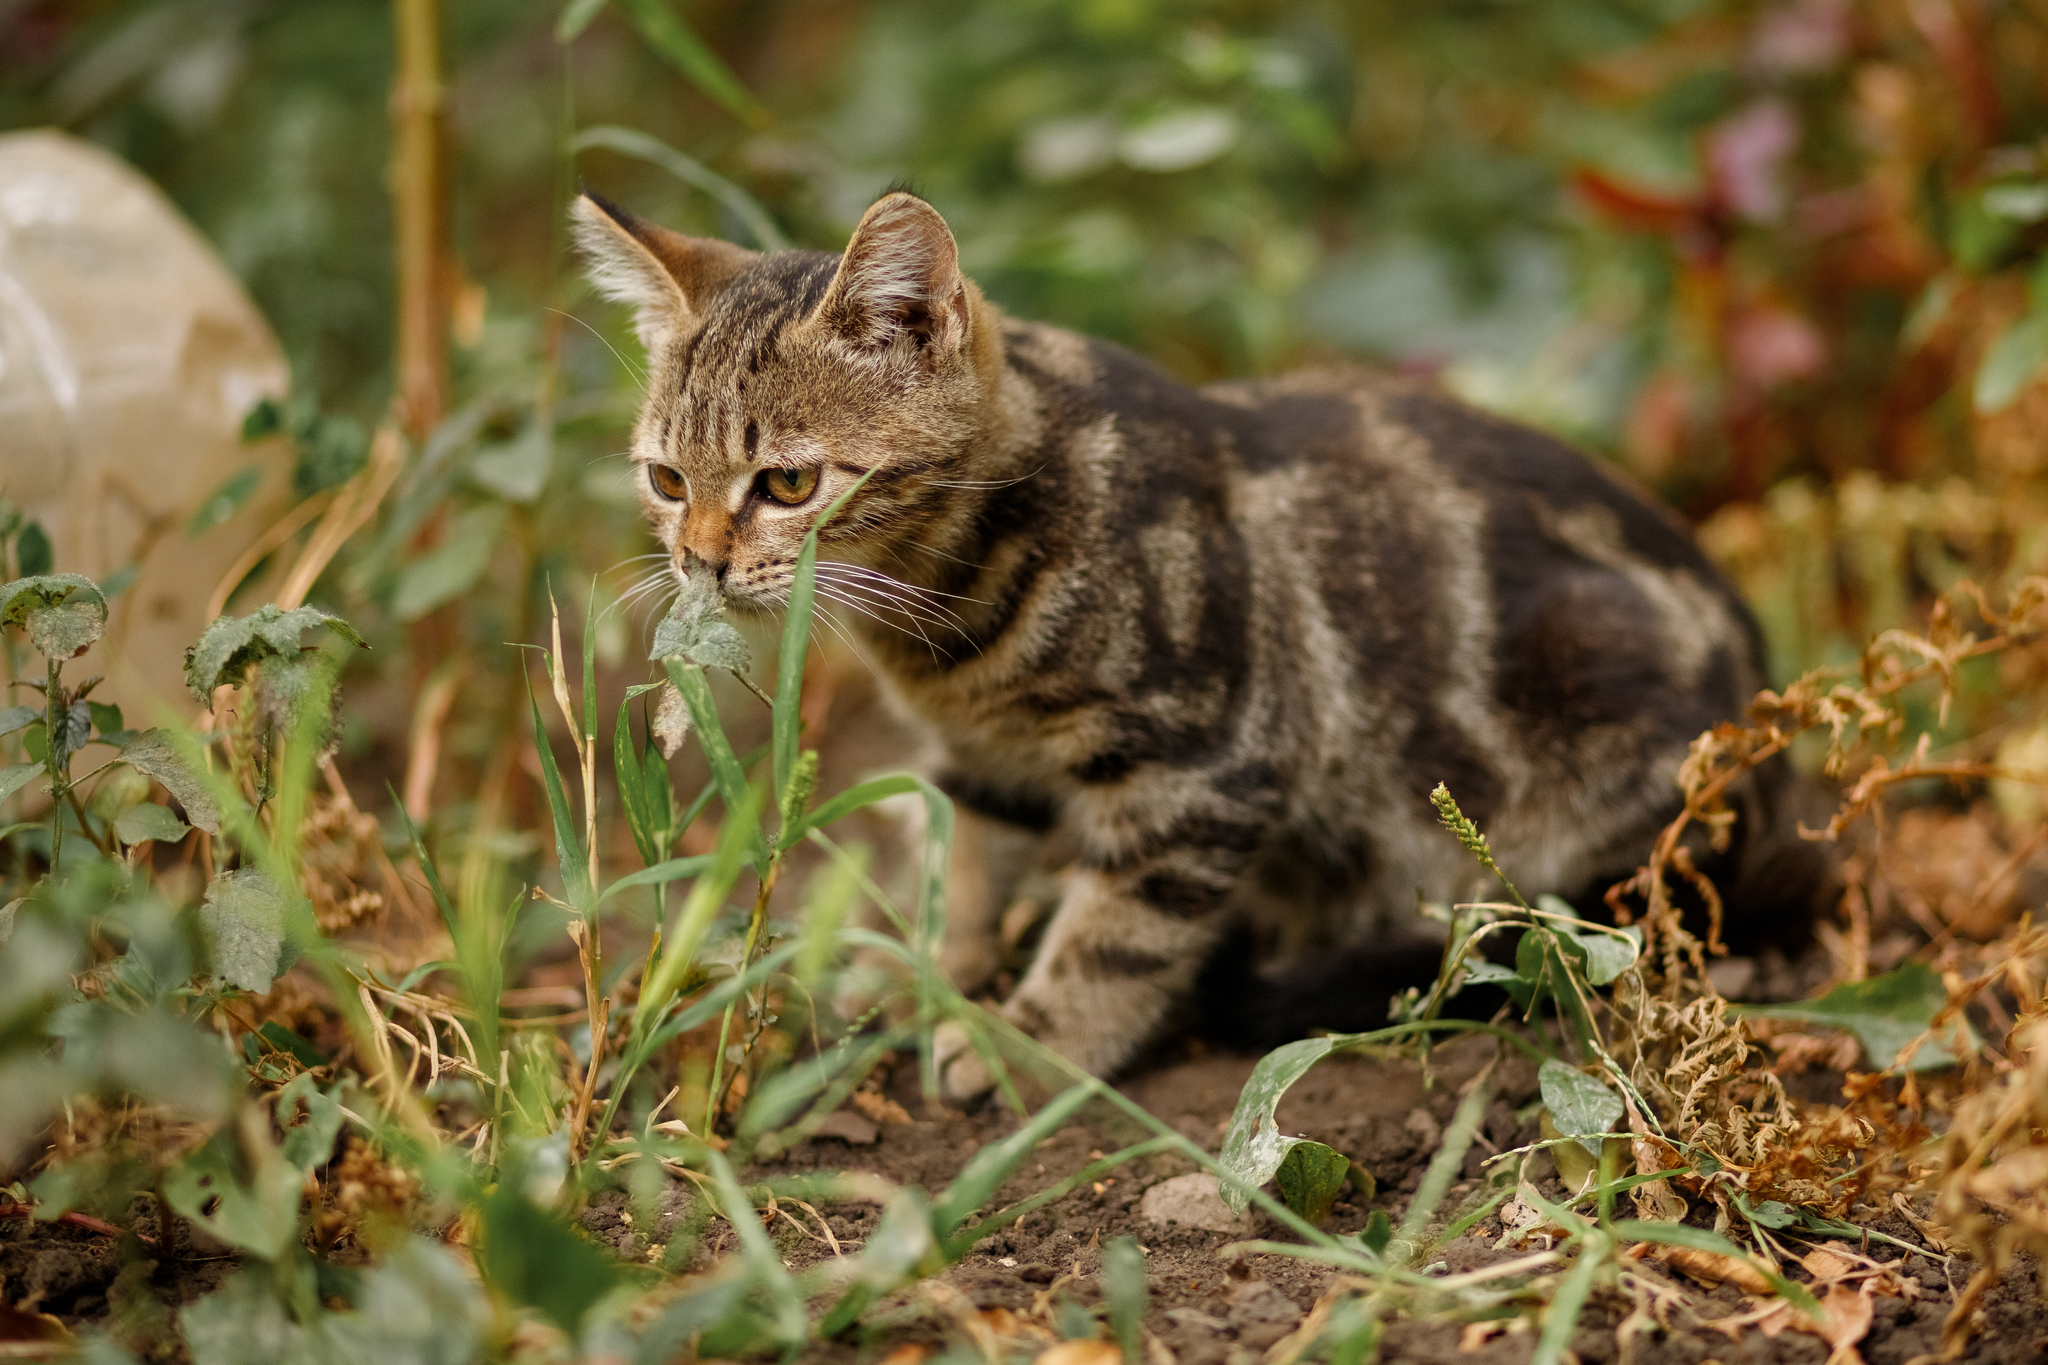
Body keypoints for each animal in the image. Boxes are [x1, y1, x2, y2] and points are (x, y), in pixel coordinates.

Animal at [573, 187, 1810, 1096]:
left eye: (787, 484)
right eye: (667, 479)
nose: (698, 560)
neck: (950, 609)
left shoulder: (1205, 764)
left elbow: (1114, 936)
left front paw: (1025, 1046)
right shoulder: (982, 760)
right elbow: (960, 863)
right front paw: (923, 971)